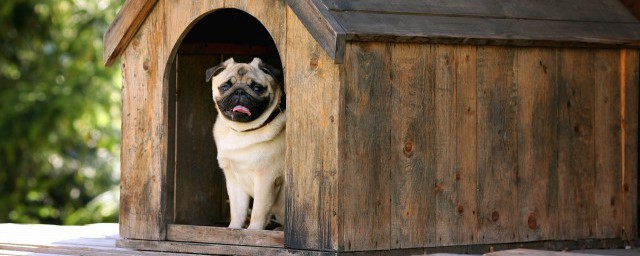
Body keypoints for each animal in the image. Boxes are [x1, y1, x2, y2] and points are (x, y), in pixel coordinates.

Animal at [205, 58, 284, 230]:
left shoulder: (266, 179)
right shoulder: (234, 180)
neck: (242, 131)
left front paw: (253, 231)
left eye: (257, 88)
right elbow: (237, 211)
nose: (240, 91)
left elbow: (258, 212)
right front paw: (234, 229)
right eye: (225, 86)